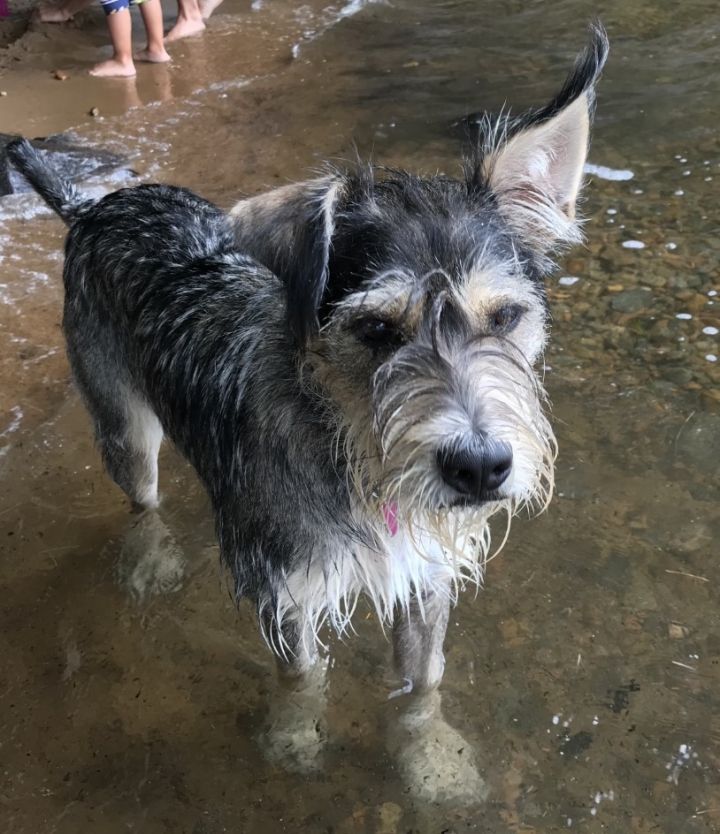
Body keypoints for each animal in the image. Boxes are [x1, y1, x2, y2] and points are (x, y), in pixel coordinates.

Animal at [7, 24, 608, 696]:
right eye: (376, 328)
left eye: (504, 318)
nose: (479, 467)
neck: (350, 456)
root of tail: (94, 208)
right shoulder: (286, 598)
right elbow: (303, 690)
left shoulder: (425, 582)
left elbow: (423, 690)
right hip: (123, 426)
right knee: (142, 500)